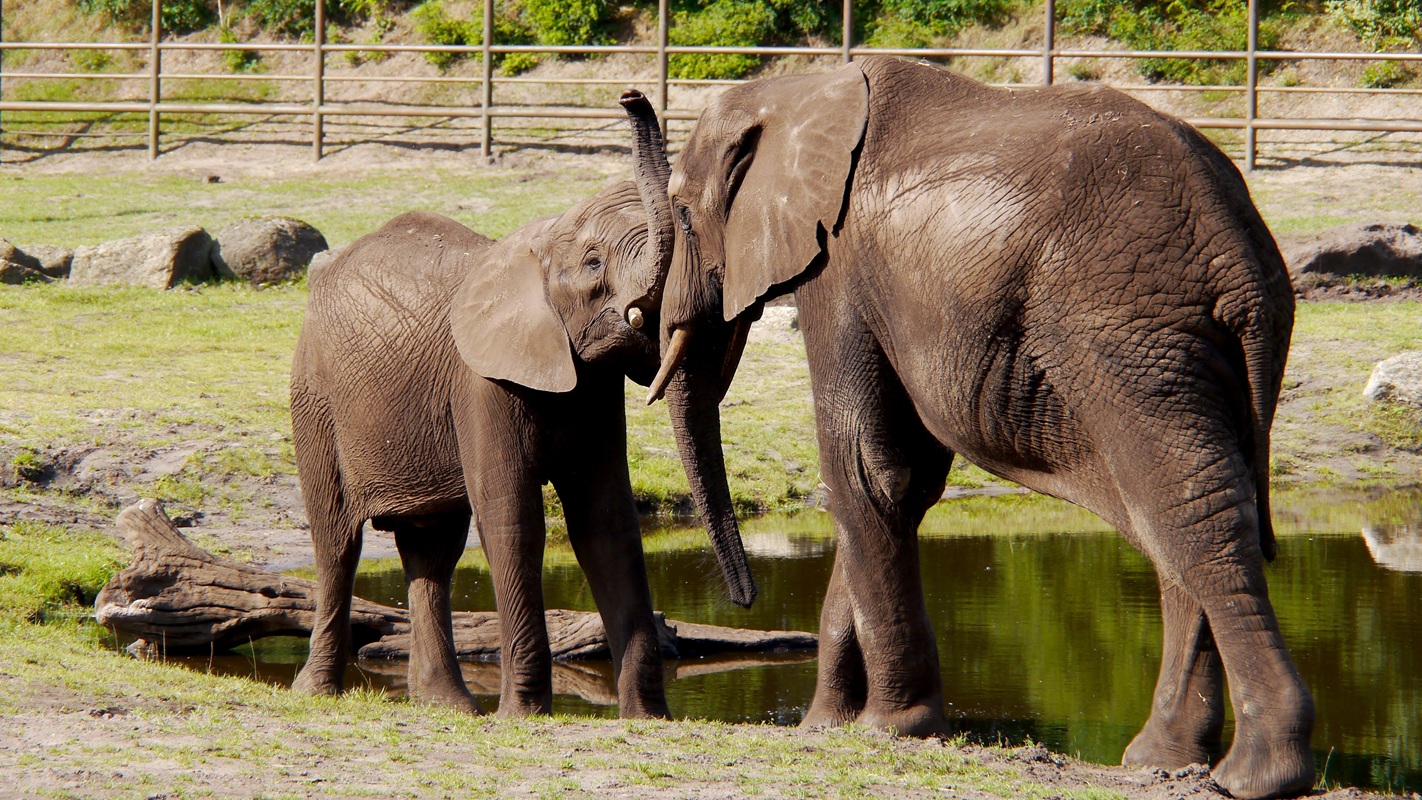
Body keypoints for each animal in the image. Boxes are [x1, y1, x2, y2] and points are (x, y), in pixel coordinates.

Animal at [287, 91, 755, 719]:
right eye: (593, 264)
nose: (631, 97)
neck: (540, 240)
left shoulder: (592, 383)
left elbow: (606, 519)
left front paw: (647, 717)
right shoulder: (480, 382)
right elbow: (514, 518)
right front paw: (525, 714)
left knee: (432, 549)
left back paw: (448, 707)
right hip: (314, 398)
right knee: (338, 542)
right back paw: (317, 692)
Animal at [642, 56, 1313, 799]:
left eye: (681, 212)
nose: (746, 600)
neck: (797, 87)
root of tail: (1238, 253)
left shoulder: (840, 267)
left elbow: (864, 465)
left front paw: (888, 729)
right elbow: (905, 480)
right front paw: (826, 727)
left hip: (1125, 332)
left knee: (1186, 504)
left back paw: (1257, 774)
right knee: (1169, 509)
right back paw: (1160, 760)